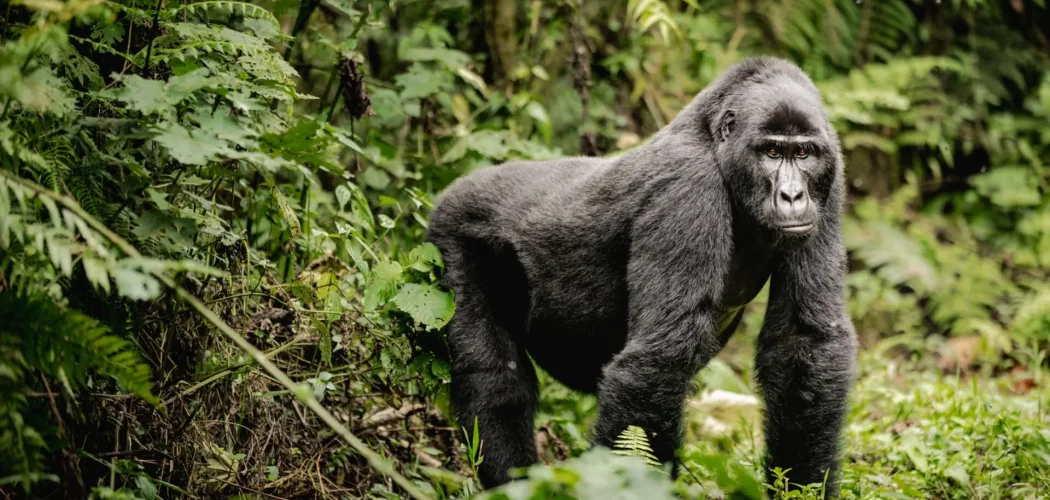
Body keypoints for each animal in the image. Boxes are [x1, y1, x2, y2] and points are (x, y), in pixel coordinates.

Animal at [426, 56, 857, 497]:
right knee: (493, 376)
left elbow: (802, 342)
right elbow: (659, 358)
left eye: (803, 153)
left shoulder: (830, 181)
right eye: (772, 151)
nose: (792, 195)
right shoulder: (687, 190)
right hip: (453, 231)